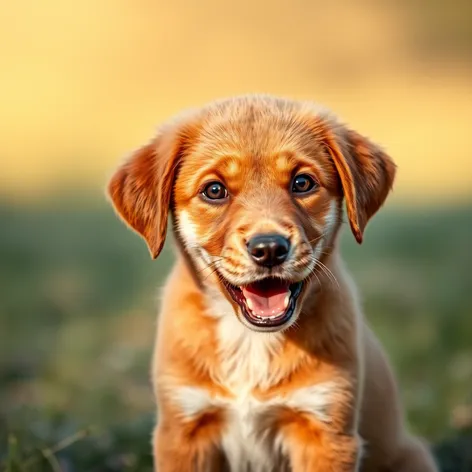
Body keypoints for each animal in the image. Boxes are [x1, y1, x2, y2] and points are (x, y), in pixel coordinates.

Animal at [108, 94, 438, 470]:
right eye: (214, 190)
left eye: (302, 183)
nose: (269, 249)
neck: (250, 342)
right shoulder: (184, 430)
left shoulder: (326, 429)